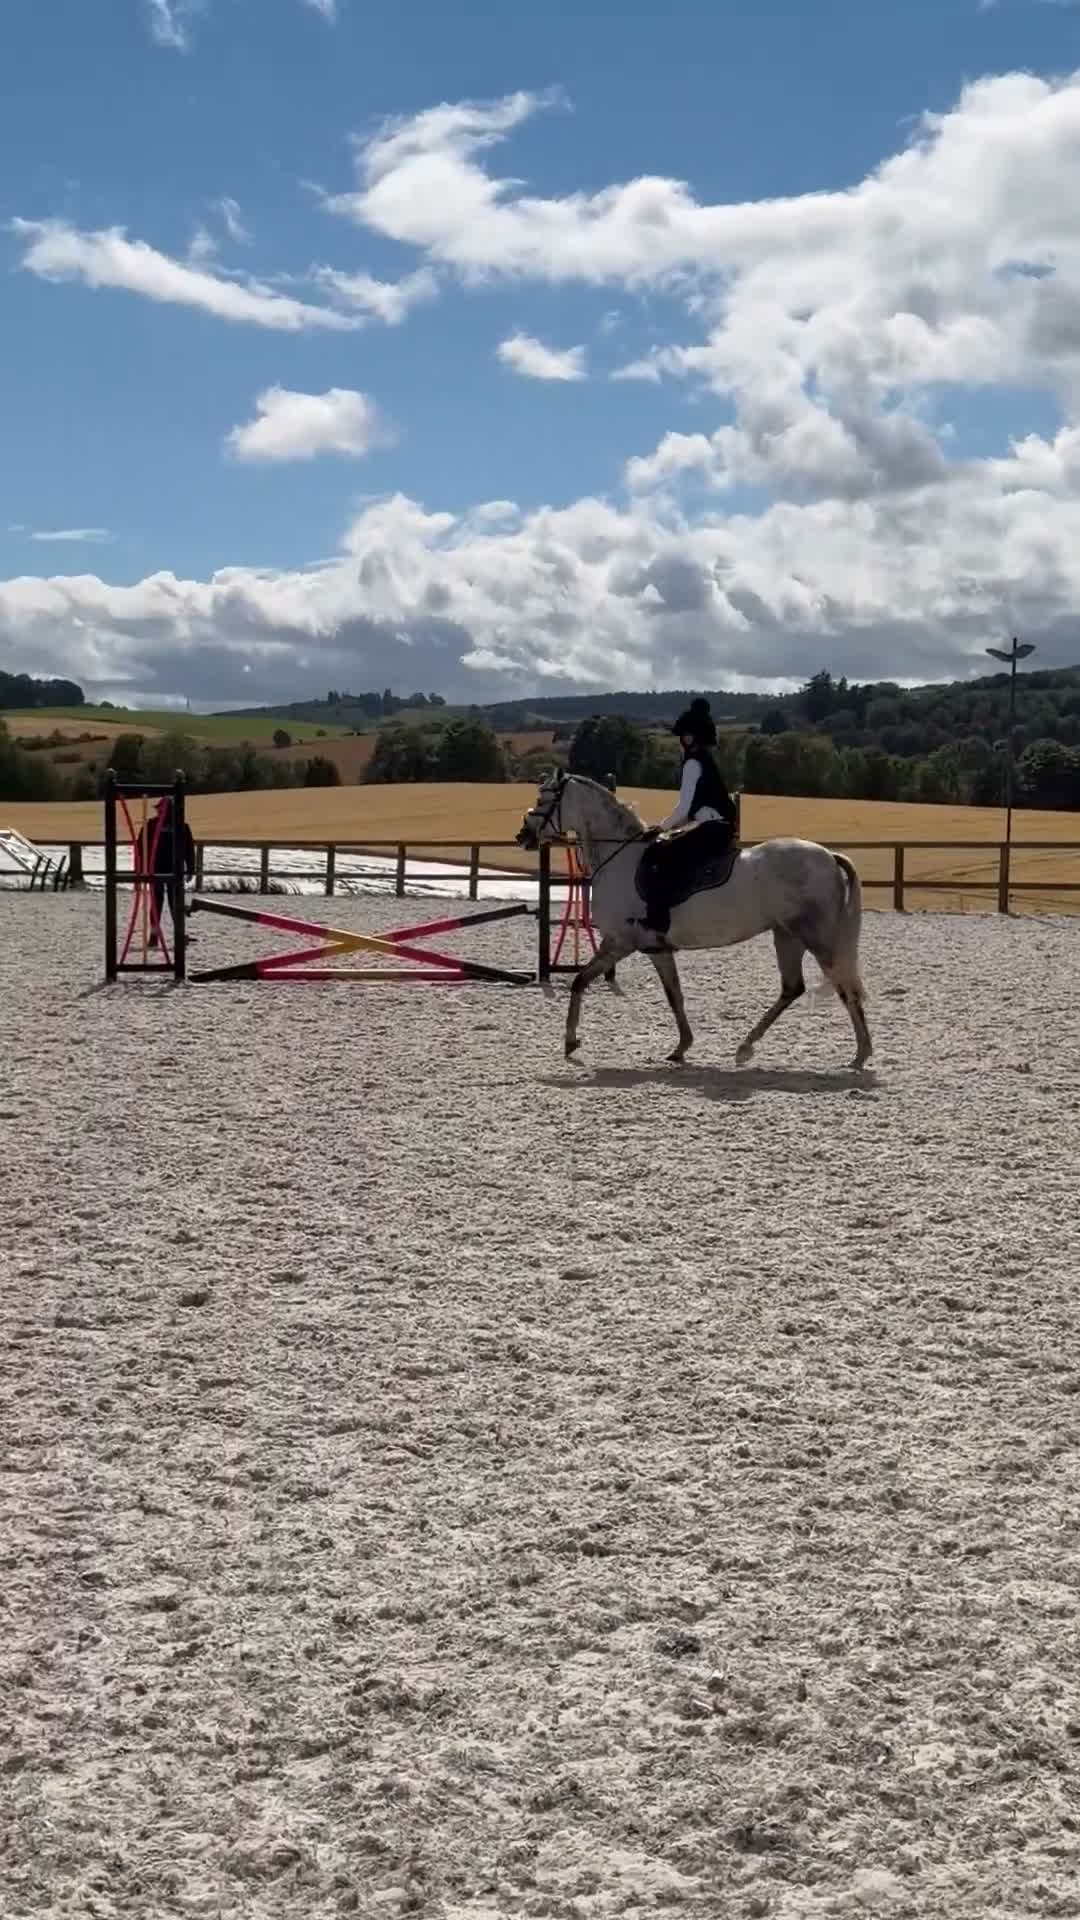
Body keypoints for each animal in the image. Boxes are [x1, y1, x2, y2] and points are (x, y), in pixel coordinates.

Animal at [516, 771, 872, 1070]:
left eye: (544, 799)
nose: (523, 835)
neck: (620, 858)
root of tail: (828, 856)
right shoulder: (646, 947)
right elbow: (667, 994)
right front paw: (680, 1047)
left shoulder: (623, 942)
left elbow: (590, 982)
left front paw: (571, 1042)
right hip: (786, 935)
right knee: (793, 988)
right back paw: (746, 1047)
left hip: (817, 937)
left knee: (843, 987)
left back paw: (861, 1054)